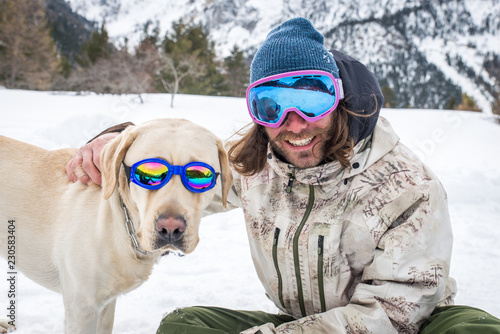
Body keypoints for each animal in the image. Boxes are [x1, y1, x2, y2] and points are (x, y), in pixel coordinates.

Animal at [0, 118, 233, 332]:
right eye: (149, 174)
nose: (170, 228)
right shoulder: (82, 306)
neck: (119, 223)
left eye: (199, 175)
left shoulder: (106, 305)